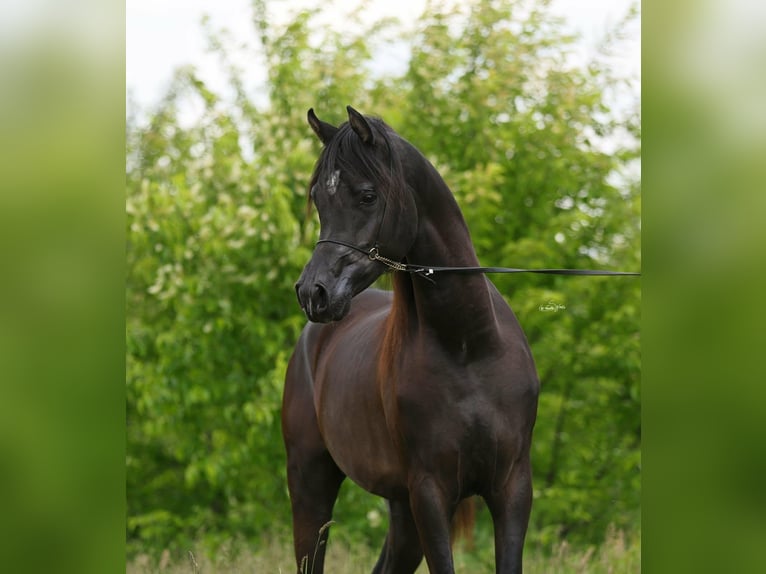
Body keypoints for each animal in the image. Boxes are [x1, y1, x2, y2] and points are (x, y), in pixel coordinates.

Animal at [282, 106, 540, 574]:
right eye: (318, 199)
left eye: (367, 196)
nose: (314, 293)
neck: (468, 348)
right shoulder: (430, 493)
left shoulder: (513, 489)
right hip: (311, 483)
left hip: (401, 511)